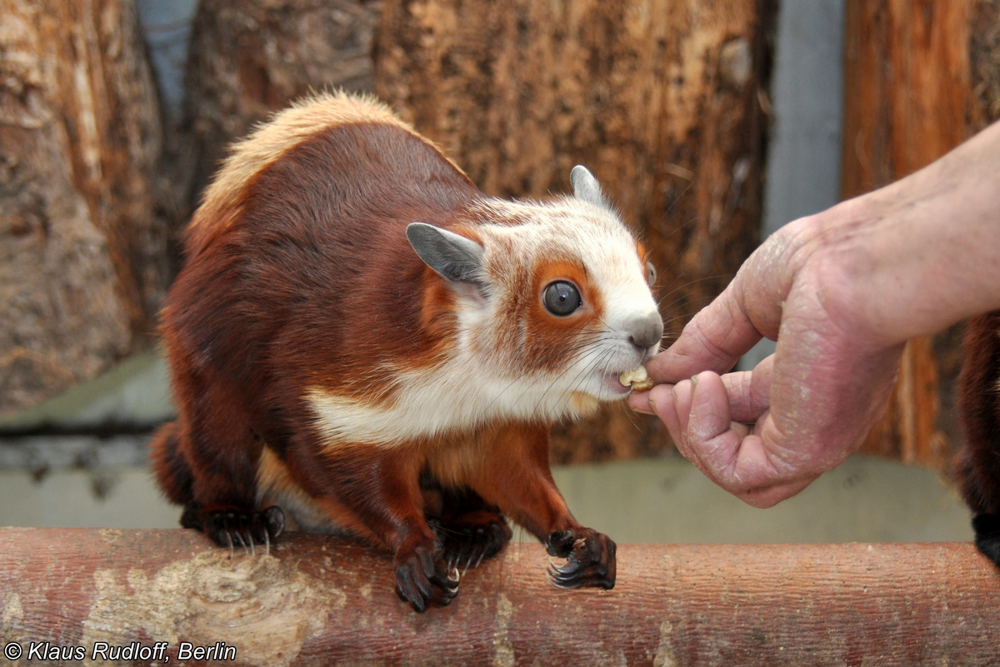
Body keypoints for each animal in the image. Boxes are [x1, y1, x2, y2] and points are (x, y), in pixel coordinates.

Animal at [150, 92, 664, 612]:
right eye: (561, 296)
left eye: (650, 271)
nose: (650, 332)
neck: (466, 379)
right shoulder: (334, 405)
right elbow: (351, 481)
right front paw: (415, 548)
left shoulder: (500, 423)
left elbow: (520, 478)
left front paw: (577, 534)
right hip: (206, 367)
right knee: (215, 441)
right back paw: (232, 518)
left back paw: (472, 529)